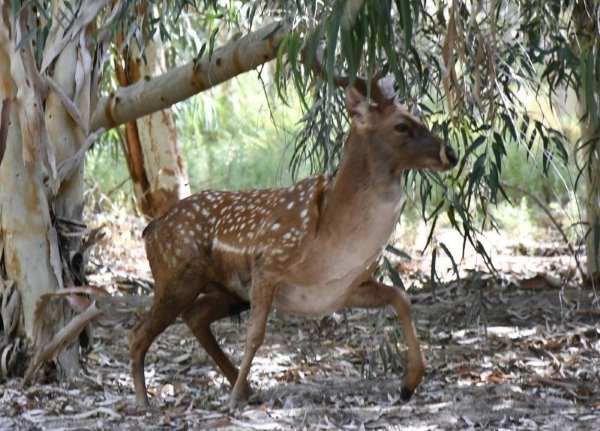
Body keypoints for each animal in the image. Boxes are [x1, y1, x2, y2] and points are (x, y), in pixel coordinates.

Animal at [129, 72, 458, 410]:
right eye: (401, 125)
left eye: (418, 115)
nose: (452, 153)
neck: (333, 242)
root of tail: (150, 229)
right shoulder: (268, 264)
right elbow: (256, 334)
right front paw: (231, 401)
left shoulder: (342, 289)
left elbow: (401, 297)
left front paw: (409, 384)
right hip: (176, 276)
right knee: (138, 333)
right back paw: (145, 401)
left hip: (227, 291)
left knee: (194, 317)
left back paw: (245, 389)